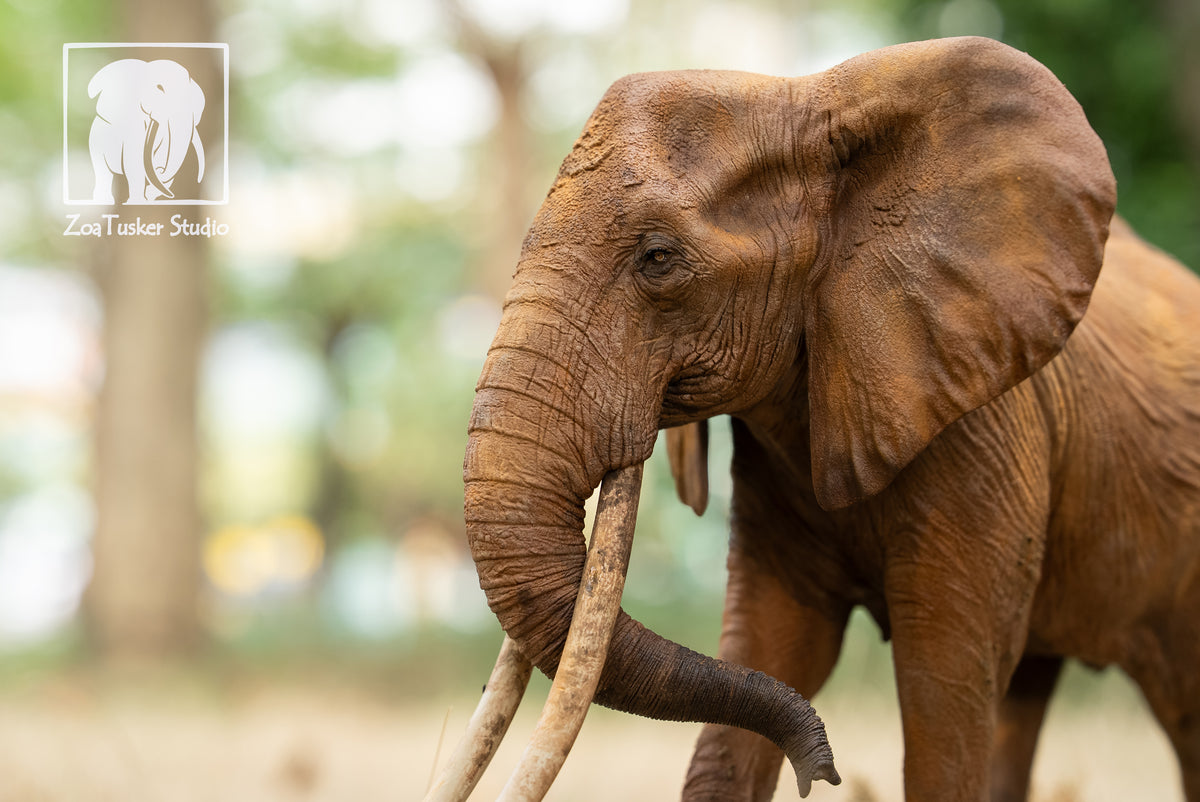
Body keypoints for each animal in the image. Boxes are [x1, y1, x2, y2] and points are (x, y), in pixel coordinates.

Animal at [88, 58, 205, 204]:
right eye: (159, 87)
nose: (160, 170)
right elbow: (135, 160)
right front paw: (136, 201)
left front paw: (148, 196)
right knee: (102, 171)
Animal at [427, 37, 1200, 802]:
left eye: (658, 258)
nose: (823, 773)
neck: (811, 101)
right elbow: (769, 653)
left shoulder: (988, 434)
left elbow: (943, 697)